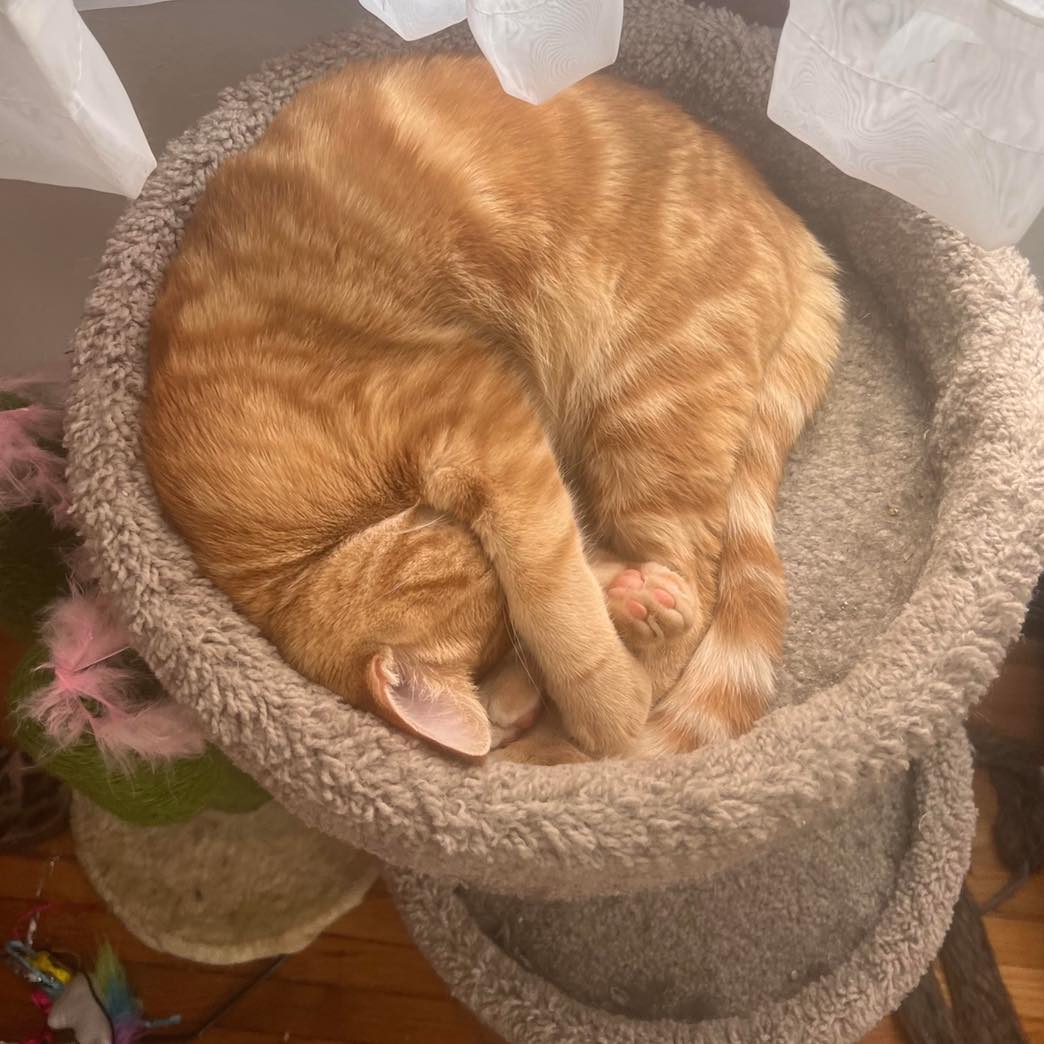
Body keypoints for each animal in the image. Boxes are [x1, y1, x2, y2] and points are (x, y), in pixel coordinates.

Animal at [142, 54, 842, 763]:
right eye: (495, 630)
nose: (513, 673)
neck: (295, 555)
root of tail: (795, 229)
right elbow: (575, 570)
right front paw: (608, 611)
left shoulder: (482, 416)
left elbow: (553, 598)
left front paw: (609, 705)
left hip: (648, 410)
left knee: (696, 587)